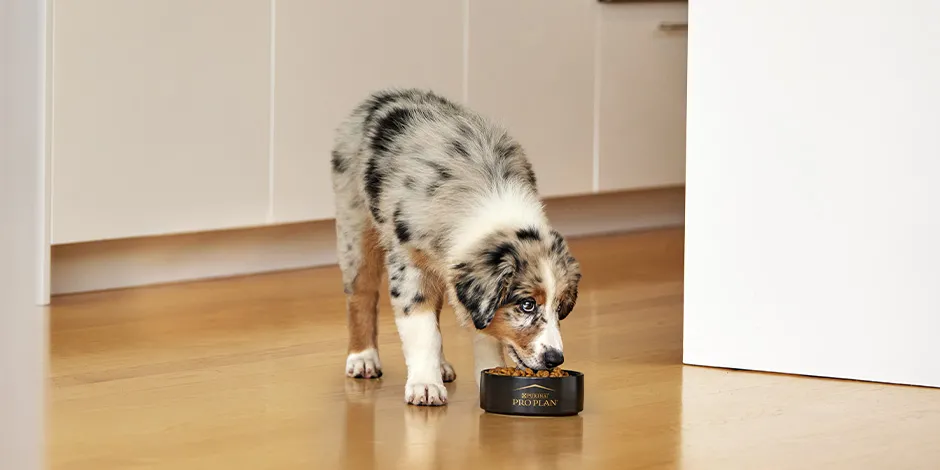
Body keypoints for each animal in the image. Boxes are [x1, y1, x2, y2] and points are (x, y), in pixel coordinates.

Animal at [330, 90, 580, 406]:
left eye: (560, 306)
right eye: (527, 304)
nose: (555, 359)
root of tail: (383, 96)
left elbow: (483, 333)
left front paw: (486, 372)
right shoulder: (409, 266)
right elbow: (422, 329)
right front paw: (425, 385)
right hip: (355, 225)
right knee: (360, 294)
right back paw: (363, 358)